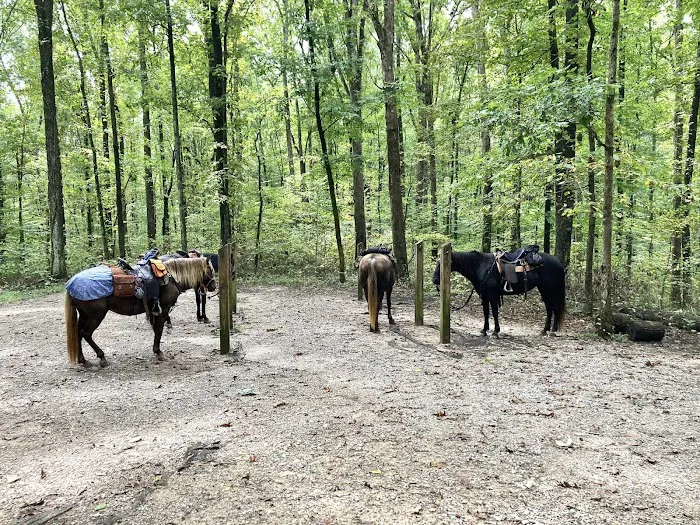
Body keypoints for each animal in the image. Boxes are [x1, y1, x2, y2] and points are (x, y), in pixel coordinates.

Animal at [65, 257, 216, 367]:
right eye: (211, 270)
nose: (214, 286)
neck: (171, 278)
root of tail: (71, 283)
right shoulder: (164, 309)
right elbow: (159, 329)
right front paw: (158, 352)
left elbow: (156, 329)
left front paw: (156, 350)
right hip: (95, 315)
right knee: (86, 334)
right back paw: (102, 357)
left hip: (84, 315)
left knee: (78, 333)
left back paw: (83, 360)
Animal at [432, 250, 566, 337]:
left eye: (443, 263)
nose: (434, 279)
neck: (481, 266)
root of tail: (559, 263)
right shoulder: (484, 296)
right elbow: (486, 313)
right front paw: (484, 330)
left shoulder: (492, 295)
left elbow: (495, 313)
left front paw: (496, 331)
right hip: (544, 290)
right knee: (549, 308)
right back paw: (545, 330)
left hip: (550, 289)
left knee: (554, 308)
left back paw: (553, 331)